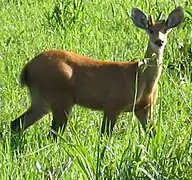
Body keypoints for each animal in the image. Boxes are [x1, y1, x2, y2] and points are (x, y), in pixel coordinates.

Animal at [10, 6, 184, 137]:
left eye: (166, 30)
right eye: (150, 30)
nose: (159, 41)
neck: (141, 78)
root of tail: (27, 68)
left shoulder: (145, 108)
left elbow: (153, 135)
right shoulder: (113, 104)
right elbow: (105, 136)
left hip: (41, 99)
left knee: (17, 123)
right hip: (60, 97)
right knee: (53, 133)